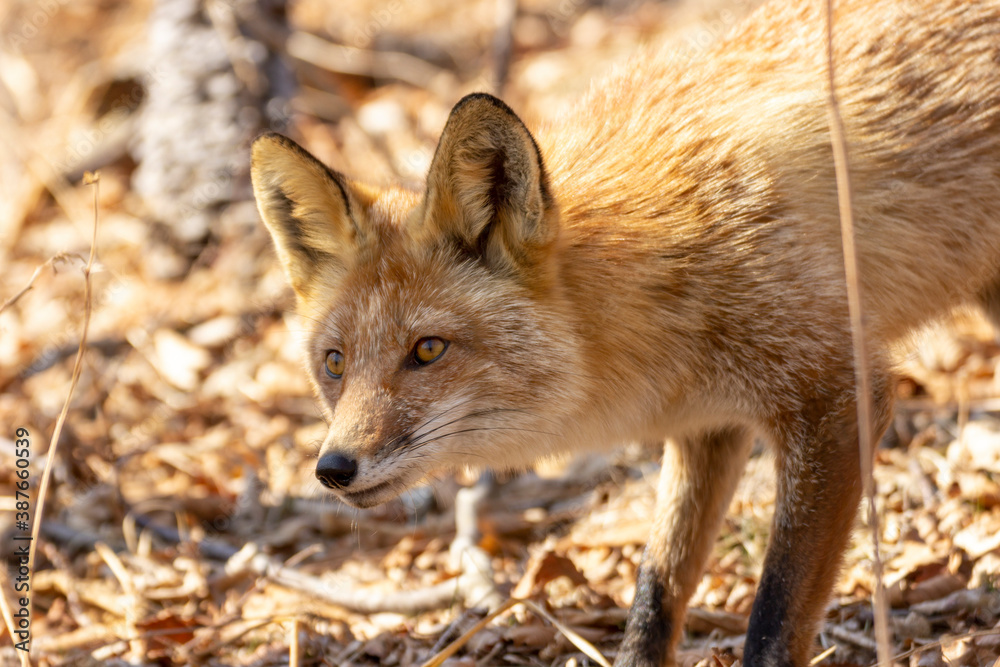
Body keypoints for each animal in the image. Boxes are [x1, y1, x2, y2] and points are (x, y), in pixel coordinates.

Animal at [249, 0, 1000, 664]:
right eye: (335, 362)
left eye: (427, 350)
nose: (333, 468)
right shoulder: (707, 424)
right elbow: (657, 587)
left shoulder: (838, 396)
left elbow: (773, 617)